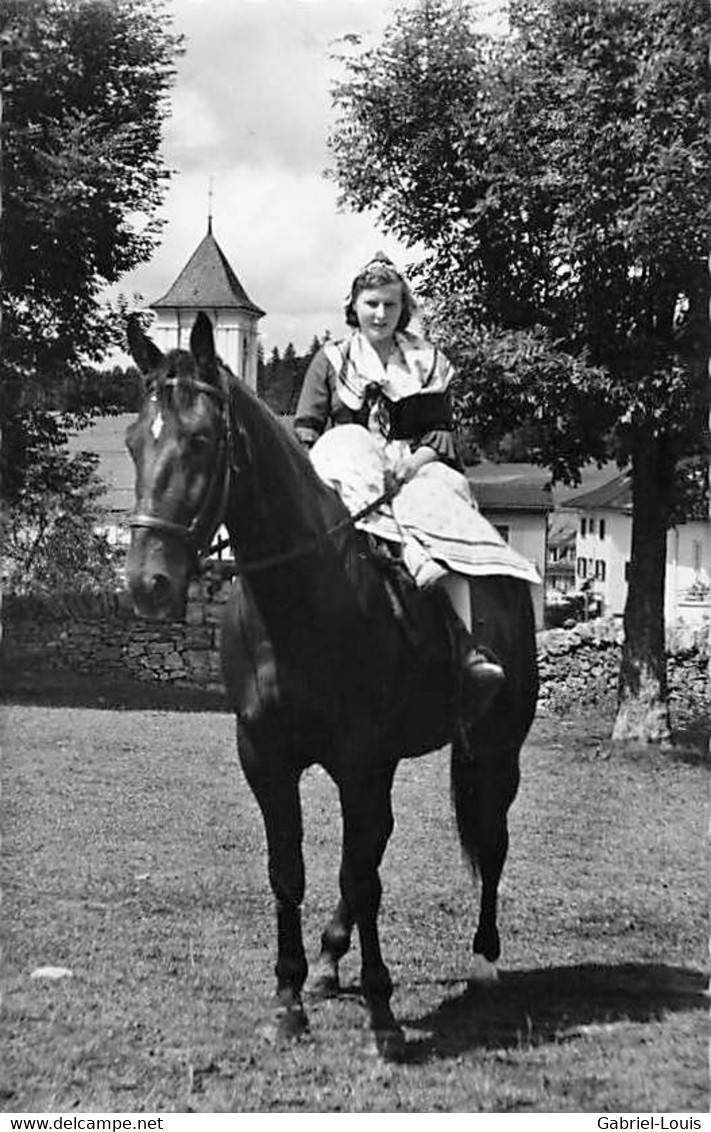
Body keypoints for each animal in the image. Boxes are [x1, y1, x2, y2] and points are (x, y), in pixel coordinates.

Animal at [126, 312, 538, 1059]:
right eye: (133, 440)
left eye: (200, 438)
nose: (149, 582)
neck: (303, 597)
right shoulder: (269, 759)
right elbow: (292, 873)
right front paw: (290, 999)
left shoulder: (359, 758)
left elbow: (362, 876)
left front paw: (382, 1014)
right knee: (377, 844)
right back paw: (326, 962)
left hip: (497, 747)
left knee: (488, 842)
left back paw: (484, 960)